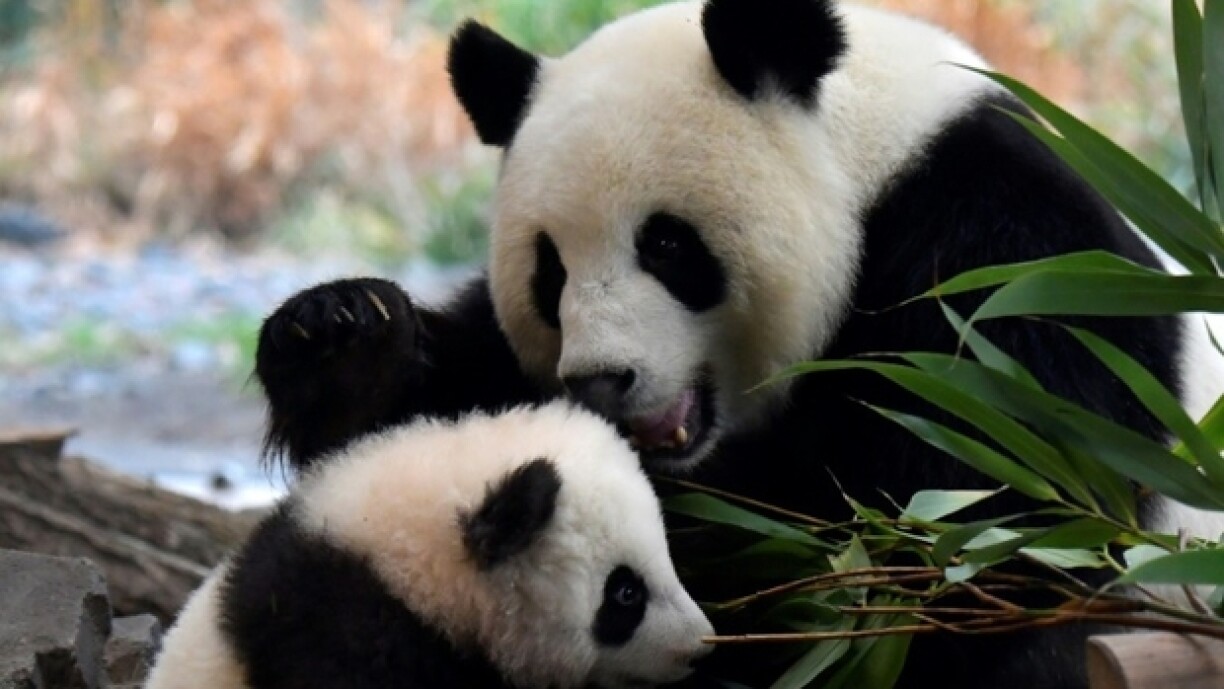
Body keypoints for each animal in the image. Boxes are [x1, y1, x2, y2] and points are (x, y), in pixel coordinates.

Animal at [252, 1, 1224, 687]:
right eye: (549, 273)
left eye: (667, 245)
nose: (601, 381)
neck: (873, 162)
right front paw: (344, 342)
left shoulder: (1010, 257)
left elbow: (948, 511)